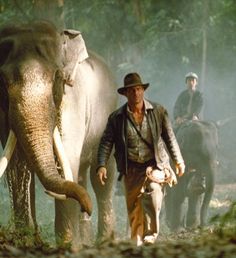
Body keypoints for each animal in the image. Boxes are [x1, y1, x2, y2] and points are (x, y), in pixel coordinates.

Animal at [0, 20, 117, 250]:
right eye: (3, 81)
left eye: (56, 76)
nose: (87, 208)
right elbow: (16, 166)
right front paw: (26, 240)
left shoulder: (73, 99)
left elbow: (68, 155)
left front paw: (67, 246)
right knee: (80, 176)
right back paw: (86, 240)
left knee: (102, 178)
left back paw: (105, 241)